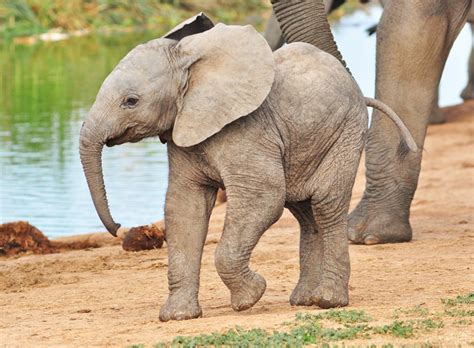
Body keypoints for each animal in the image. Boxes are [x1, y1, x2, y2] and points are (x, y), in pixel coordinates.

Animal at [79, 14, 416, 322]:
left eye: (130, 101)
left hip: (346, 131)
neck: (190, 61)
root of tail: (360, 92)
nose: (118, 227)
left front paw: (250, 298)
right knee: (305, 212)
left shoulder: (248, 129)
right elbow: (184, 207)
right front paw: (177, 317)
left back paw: (328, 301)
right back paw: (304, 300)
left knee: (325, 204)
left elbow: (263, 197)